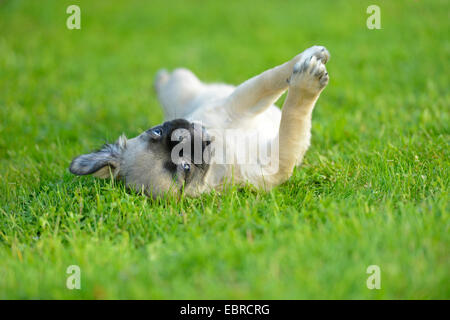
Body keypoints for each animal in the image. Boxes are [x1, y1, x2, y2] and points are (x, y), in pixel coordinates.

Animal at [70, 46, 330, 198]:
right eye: (186, 168)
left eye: (157, 131)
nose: (185, 137)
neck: (220, 152)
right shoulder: (276, 157)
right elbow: (292, 115)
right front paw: (306, 82)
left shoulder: (236, 103)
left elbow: (269, 78)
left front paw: (308, 57)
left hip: (184, 89)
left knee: (173, 82)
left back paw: (161, 79)